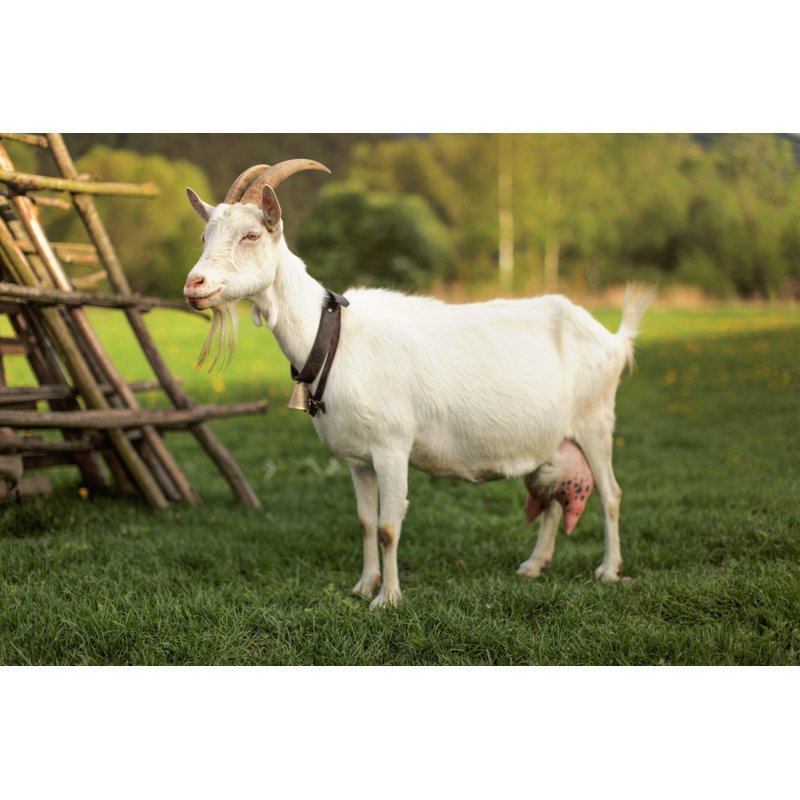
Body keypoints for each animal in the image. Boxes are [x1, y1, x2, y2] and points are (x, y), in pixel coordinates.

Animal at [184, 160, 654, 608]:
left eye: (250, 235)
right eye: (205, 236)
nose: (194, 284)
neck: (334, 337)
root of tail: (612, 339)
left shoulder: (392, 446)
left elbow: (389, 527)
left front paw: (388, 599)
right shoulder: (358, 459)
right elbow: (365, 522)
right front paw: (363, 586)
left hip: (595, 422)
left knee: (611, 494)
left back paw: (609, 570)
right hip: (553, 441)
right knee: (554, 497)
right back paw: (535, 565)